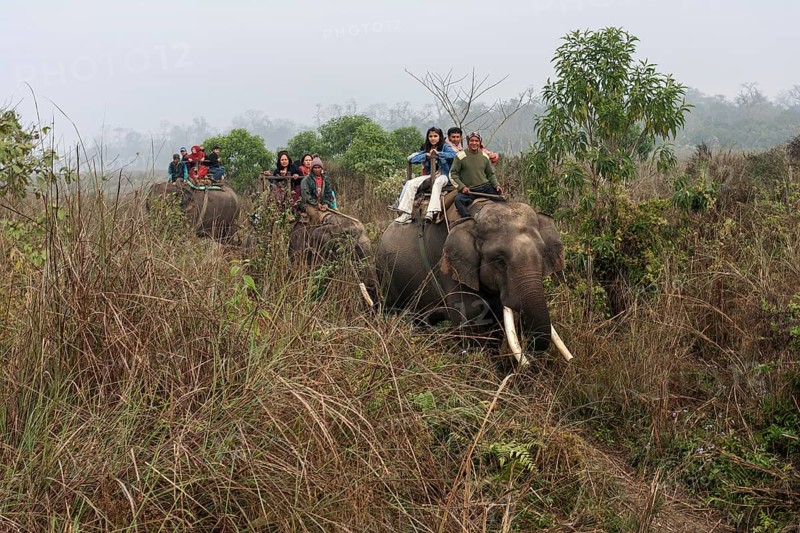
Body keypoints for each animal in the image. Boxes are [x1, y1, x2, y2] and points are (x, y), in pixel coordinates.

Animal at [376, 200, 565, 356]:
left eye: (542, 255)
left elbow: (495, 323)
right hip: (386, 274)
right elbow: (470, 320)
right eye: (500, 261)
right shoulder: (450, 267)